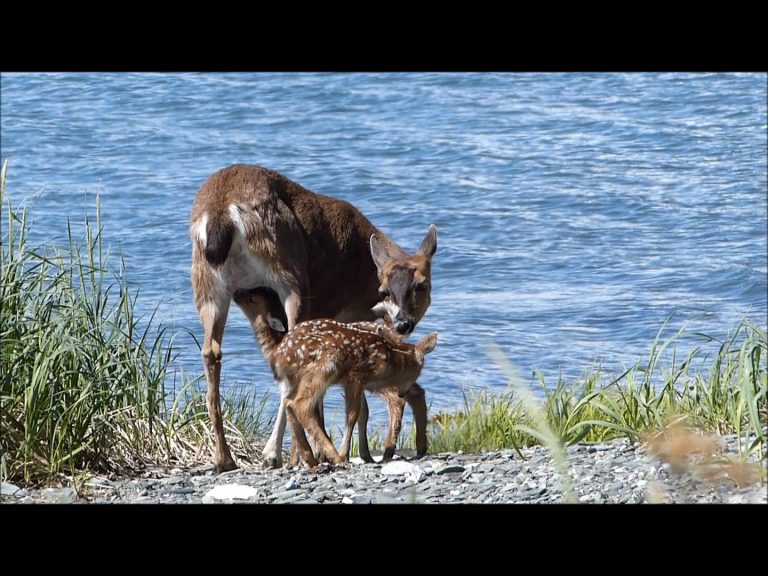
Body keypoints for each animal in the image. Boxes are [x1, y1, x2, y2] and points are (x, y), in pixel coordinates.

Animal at [234, 287, 430, 465]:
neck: (274, 349)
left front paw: (298, 460)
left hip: (346, 372)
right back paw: (416, 448)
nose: (236, 293)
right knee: (414, 392)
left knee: (397, 400)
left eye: (253, 299)